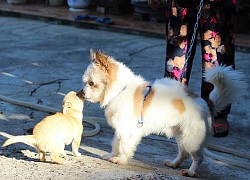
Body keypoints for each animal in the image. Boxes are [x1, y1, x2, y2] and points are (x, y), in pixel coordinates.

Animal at [80, 50, 246, 176]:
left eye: (92, 83)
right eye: (85, 82)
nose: (81, 93)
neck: (121, 90)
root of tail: (206, 103)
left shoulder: (128, 130)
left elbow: (124, 145)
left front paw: (120, 159)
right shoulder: (121, 129)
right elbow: (116, 143)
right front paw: (111, 155)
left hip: (191, 139)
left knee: (198, 157)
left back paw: (191, 172)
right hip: (181, 135)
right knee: (183, 153)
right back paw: (173, 164)